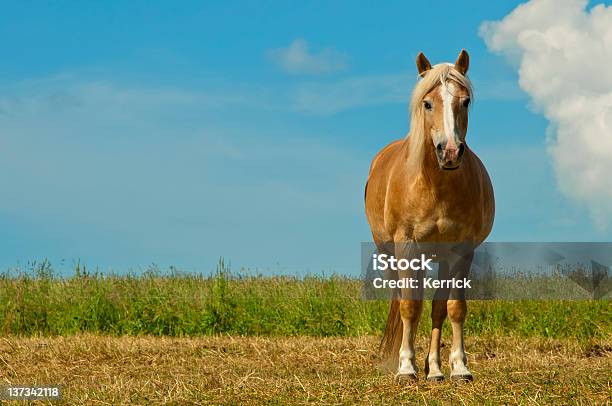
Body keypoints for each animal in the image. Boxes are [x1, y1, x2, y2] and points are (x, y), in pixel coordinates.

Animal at [366, 49, 494, 382]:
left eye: (465, 101)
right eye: (427, 103)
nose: (449, 152)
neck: (435, 186)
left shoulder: (461, 250)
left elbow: (452, 307)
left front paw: (459, 367)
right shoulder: (407, 246)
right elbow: (409, 306)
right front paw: (406, 367)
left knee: (436, 307)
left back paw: (435, 369)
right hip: (395, 254)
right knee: (404, 300)